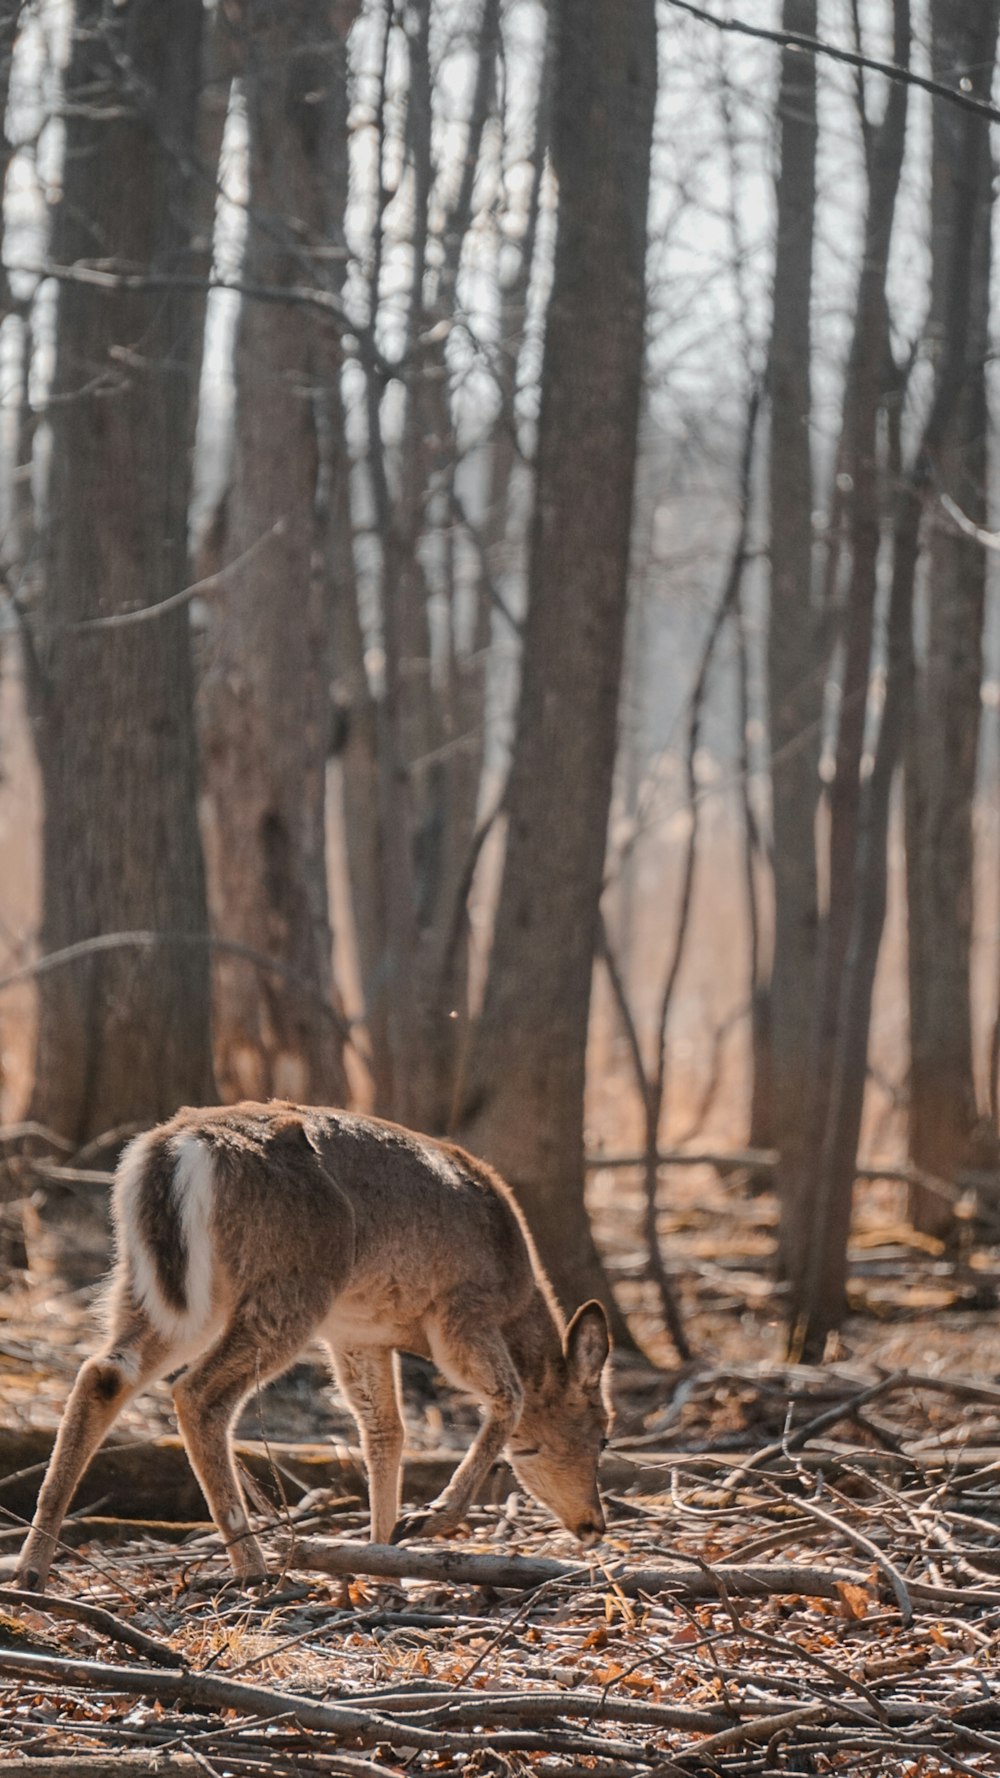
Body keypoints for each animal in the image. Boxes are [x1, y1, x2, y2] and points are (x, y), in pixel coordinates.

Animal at [17, 1102, 608, 1593]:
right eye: (602, 1436)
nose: (595, 1525)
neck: (518, 1295)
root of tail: (180, 1149)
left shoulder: (357, 1334)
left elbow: (384, 1433)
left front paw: (386, 1566)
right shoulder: (461, 1311)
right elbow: (509, 1397)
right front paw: (427, 1520)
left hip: (150, 1286)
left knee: (103, 1373)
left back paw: (31, 1569)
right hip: (291, 1286)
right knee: (198, 1393)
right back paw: (257, 1569)